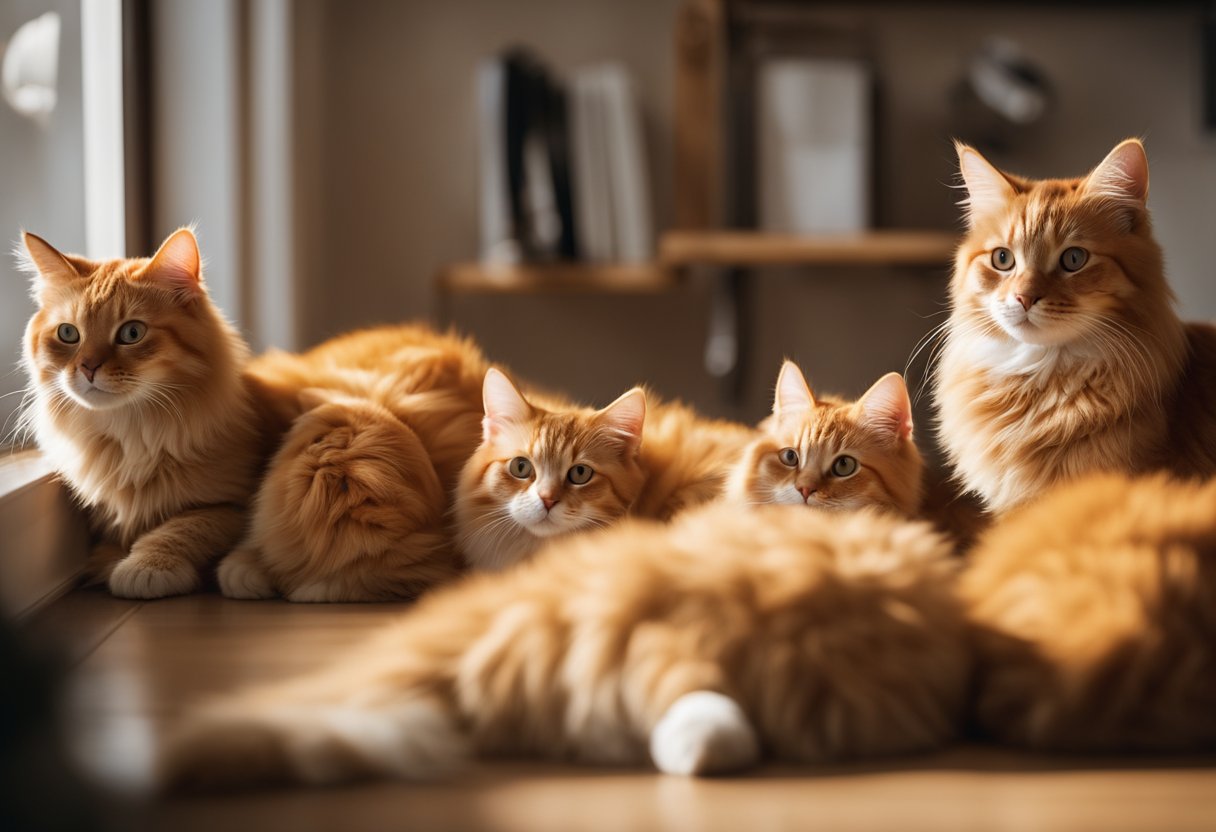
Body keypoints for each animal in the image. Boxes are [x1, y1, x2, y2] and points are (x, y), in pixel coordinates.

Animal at [16, 228, 265, 598]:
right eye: (68, 333)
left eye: (131, 333)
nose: (87, 367)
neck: (131, 437)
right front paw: (108, 562)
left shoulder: (233, 505)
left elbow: (183, 526)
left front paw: (145, 567)